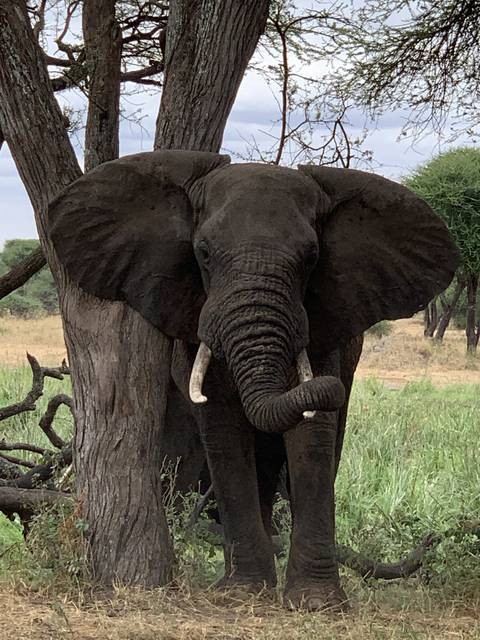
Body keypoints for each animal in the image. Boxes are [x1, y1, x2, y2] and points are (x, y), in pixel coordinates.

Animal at [48, 150, 459, 611]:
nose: (327, 391)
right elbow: (224, 432)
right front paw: (243, 593)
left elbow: (311, 439)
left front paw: (316, 603)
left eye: (312, 257)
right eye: (204, 253)